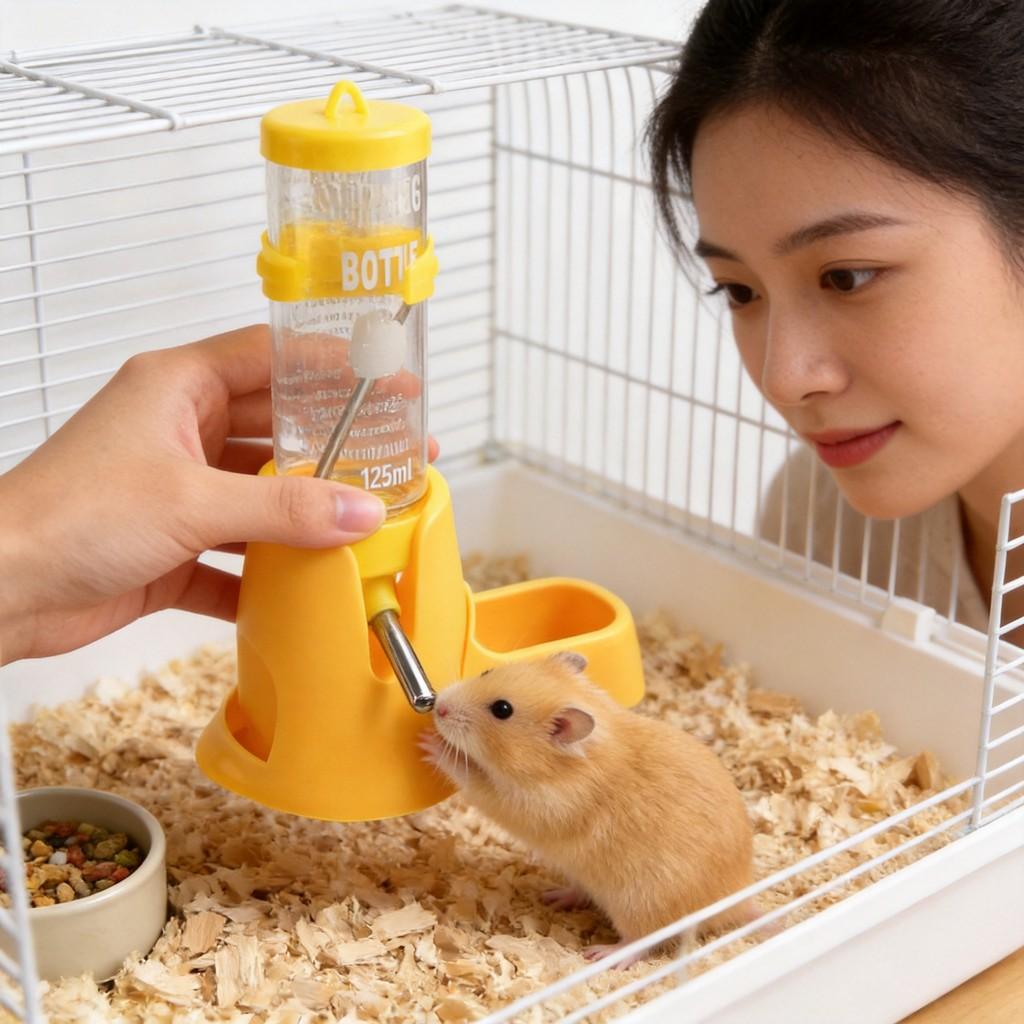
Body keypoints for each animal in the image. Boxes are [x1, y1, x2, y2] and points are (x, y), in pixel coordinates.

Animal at [418, 651, 761, 967]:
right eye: (487, 671)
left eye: (502, 710)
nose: (439, 707)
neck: (558, 766)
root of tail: (738, 901)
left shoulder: (530, 804)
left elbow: (474, 781)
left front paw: (429, 744)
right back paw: (553, 897)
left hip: (640, 904)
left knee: (643, 940)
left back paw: (603, 954)